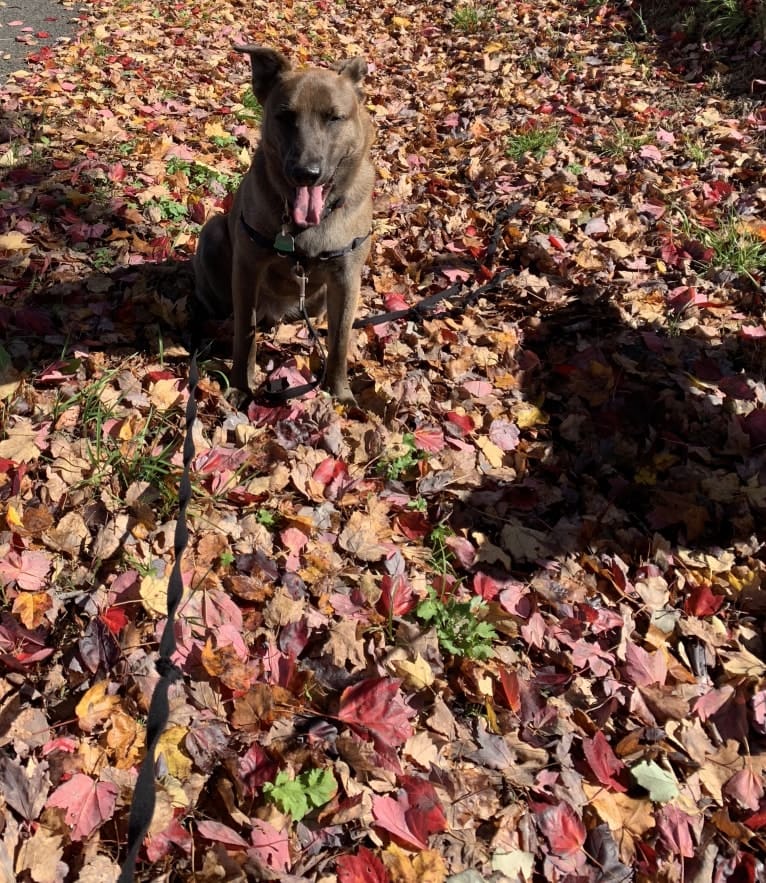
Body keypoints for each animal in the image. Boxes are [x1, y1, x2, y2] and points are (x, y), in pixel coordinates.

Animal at [194, 47, 376, 404]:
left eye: (334, 117)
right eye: (285, 116)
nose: (306, 172)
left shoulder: (347, 278)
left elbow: (340, 342)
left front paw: (339, 393)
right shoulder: (248, 268)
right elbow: (245, 334)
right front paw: (240, 386)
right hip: (212, 232)